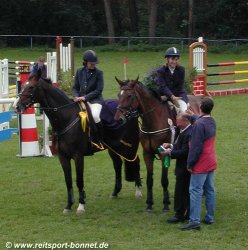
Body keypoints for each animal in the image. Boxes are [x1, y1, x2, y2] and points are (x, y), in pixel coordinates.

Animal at [14, 73, 141, 214]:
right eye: (23, 86)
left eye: (31, 87)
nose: (17, 106)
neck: (66, 118)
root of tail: (131, 111)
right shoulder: (63, 157)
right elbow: (68, 180)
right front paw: (68, 205)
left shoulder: (78, 156)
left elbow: (79, 180)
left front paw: (81, 205)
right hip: (113, 147)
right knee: (117, 164)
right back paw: (115, 193)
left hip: (129, 145)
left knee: (135, 161)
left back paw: (138, 192)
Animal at [114, 77, 202, 211]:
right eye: (119, 95)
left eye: (129, 96)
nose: (118, 119)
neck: (153, 120)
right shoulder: (147, 154)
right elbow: (149, 180)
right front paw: (149, 204)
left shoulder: (164, 153)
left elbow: (164, 180)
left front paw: (165, 204)